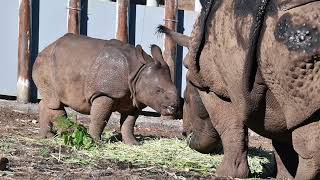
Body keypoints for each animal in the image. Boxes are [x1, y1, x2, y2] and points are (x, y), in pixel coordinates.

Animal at [32, 33, 179, 145]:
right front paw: (94, 141)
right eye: (158, 91)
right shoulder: (105, 93)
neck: (138, 72)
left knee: (50, 101)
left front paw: (133, 143)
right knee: (55, 102)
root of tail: (46, 48)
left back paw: (47, 136)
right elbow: (100, 118)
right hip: (45, 64)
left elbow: (129, 123)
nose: (174, 108)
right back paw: (68, 132)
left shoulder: (134, 99)